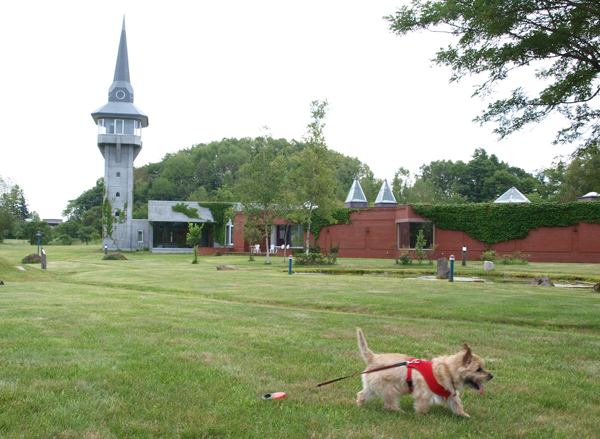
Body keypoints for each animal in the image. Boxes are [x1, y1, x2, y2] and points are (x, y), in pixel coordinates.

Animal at [356, 328, 492, 418]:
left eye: (483, 367)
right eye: (479, 369)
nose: (491, 376)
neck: (448, 370)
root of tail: (373, 358)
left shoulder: (449, 393)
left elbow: (457, 405)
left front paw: (464, 415)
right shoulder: (423, 394)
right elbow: (423, 407)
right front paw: (421, 416)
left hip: (373, 386)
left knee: (362, 394)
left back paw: (360, 405)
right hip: (389, 389)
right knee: (390, 404)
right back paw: (400, 412)